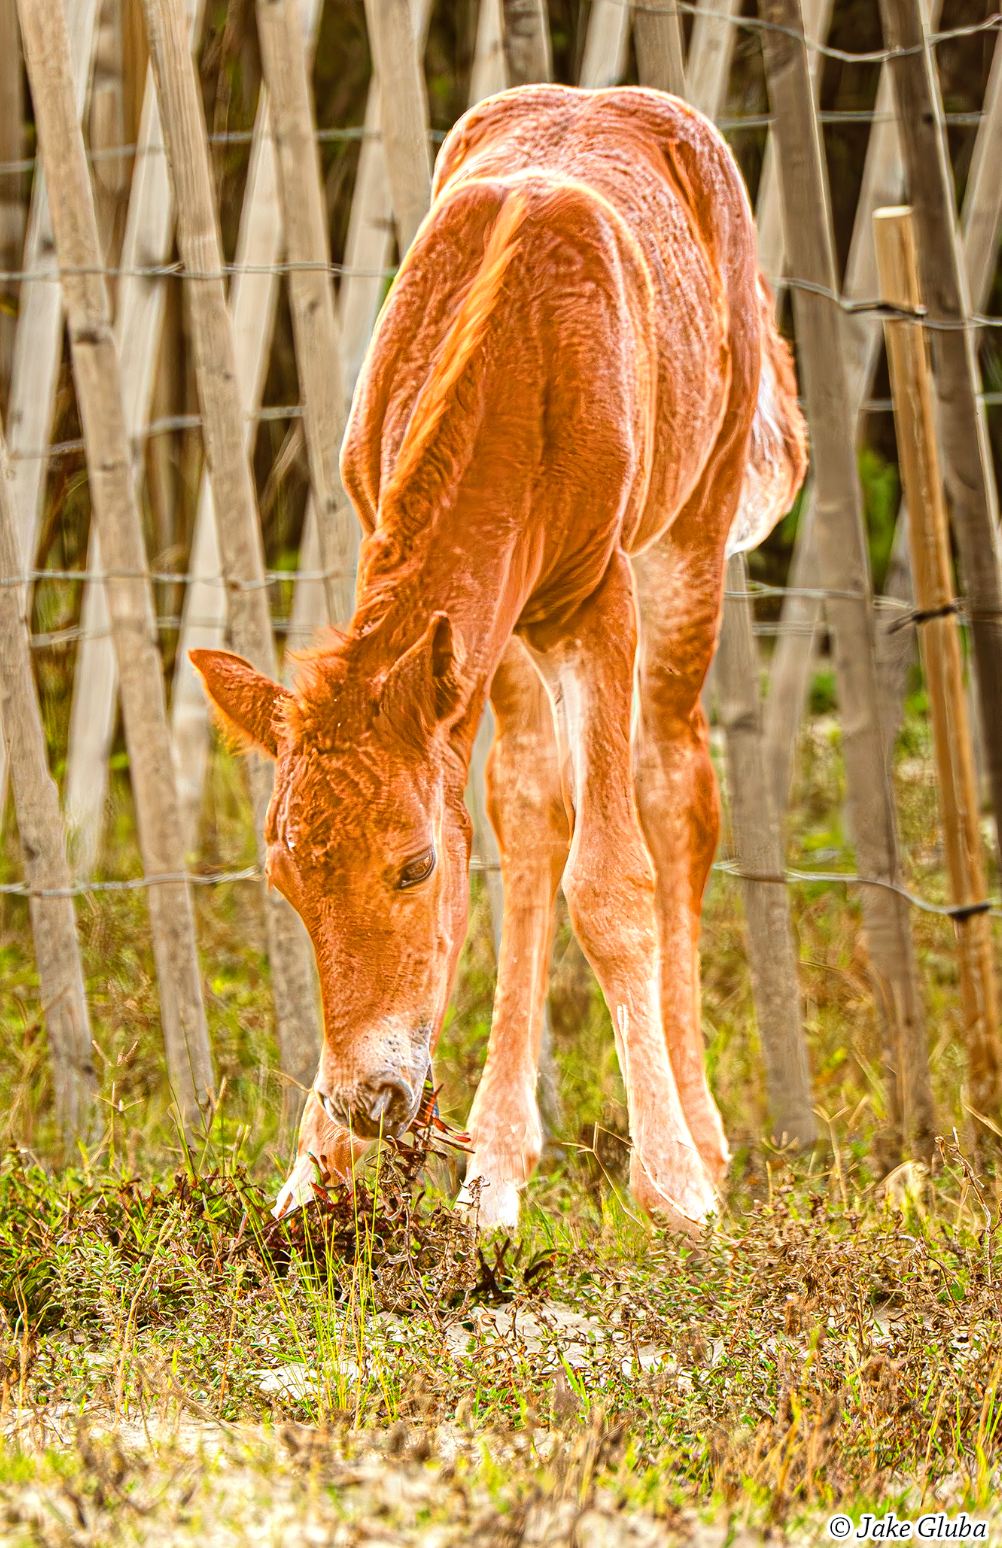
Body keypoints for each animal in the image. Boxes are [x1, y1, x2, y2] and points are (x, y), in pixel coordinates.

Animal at [193, 84, 806, 1234]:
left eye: (413, 867)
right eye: (286, 880)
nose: (372, 1098)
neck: (517, 354)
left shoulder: (595, 599)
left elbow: (611, 882)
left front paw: (676, 1188)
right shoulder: (459, 607)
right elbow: (517, 837)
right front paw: (310, 1178)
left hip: (690, 536)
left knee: (677, 787)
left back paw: (702, 1135)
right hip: (508, 639)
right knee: (530, 809)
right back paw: (499, 1166)